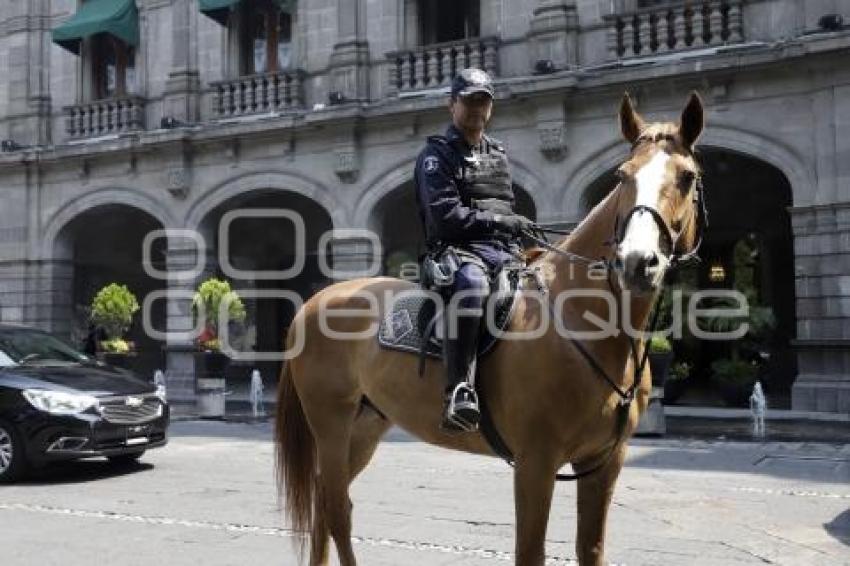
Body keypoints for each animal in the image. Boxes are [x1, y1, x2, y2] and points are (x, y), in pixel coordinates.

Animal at [274, 91, 704, 564]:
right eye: (622, 175)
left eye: (687, 177)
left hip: (365, 427)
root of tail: (312, 303)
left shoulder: (604, 463)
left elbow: (590, 549)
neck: (584, 322)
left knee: (325, 503)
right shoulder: (536, 462)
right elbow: (529, 551)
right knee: (336, 509)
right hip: (330, 423)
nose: (637, 262)